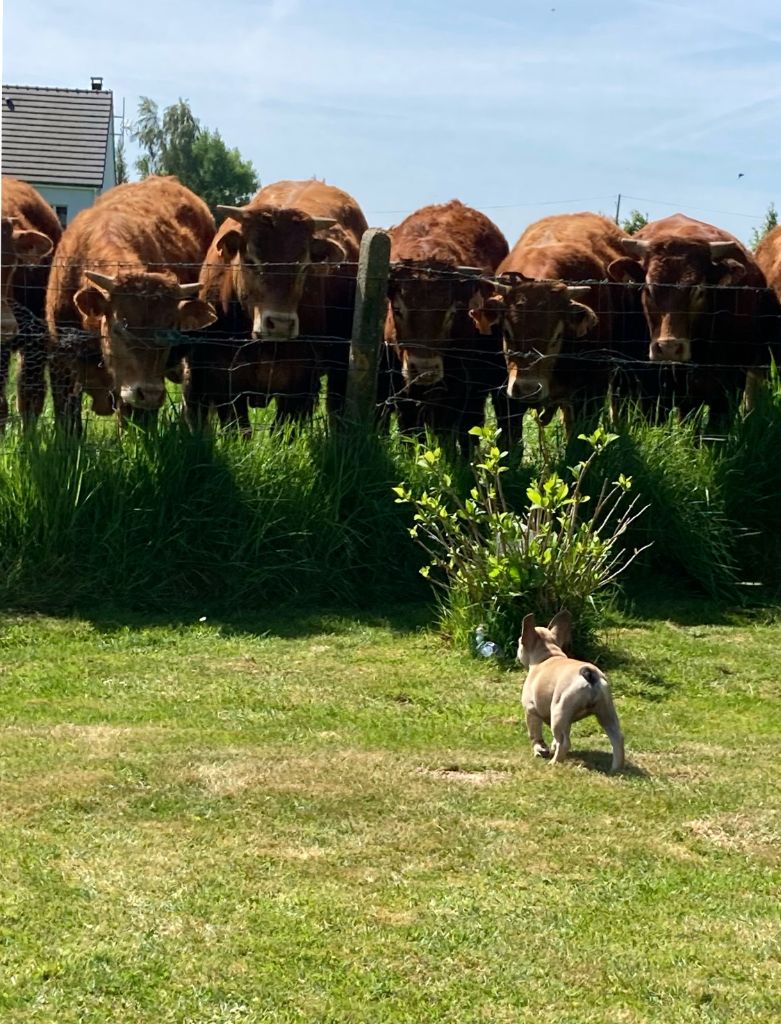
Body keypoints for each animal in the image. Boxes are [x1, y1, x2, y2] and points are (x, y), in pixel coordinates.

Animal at [386, 198, 513, 452]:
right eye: (398, 308)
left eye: (452, 312)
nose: (424, 369)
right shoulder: (401, 389)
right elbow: (410, 430)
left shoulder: (459, 388)